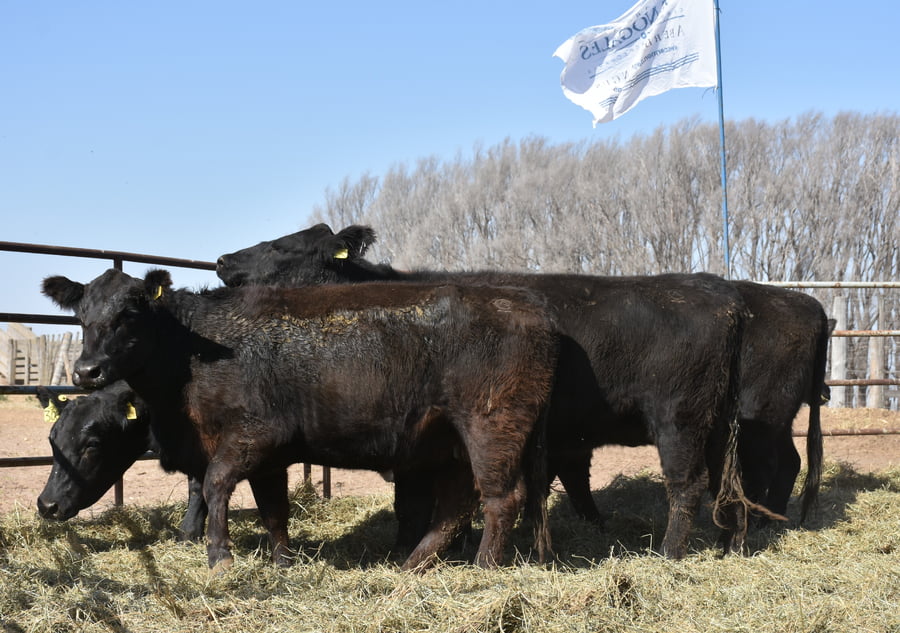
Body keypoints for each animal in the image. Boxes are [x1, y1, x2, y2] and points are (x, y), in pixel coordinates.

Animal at [217, 223, 763, 559]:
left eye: (284, 248)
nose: (222, 259)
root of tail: (720, 292)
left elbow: (414, 505)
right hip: (717, 423)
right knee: (727, 481)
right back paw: (729, 545)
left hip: (679, 419)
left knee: (687, 485)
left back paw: (667, 553)